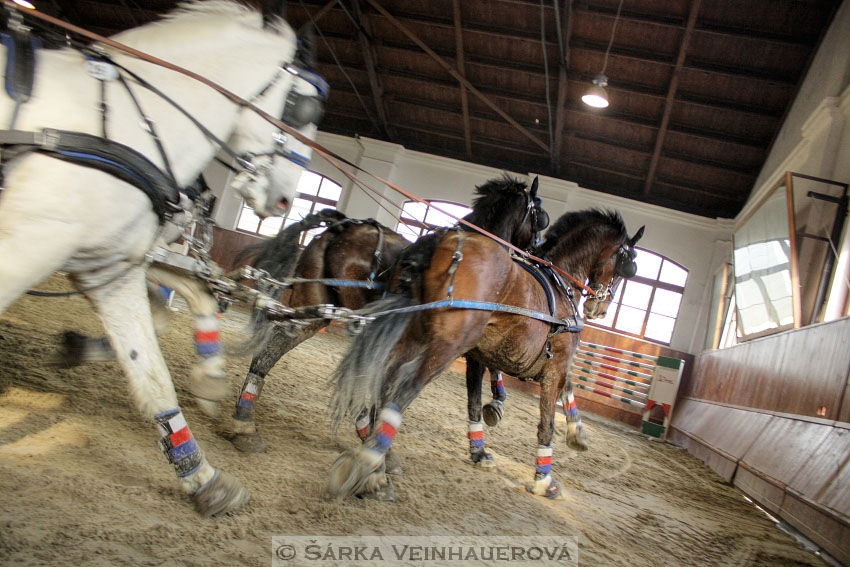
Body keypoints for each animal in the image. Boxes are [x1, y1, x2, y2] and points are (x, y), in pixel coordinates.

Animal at [0, 0, 324, 516]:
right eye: (302, 107)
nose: (282, 200)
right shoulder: (33, 243)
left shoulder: (110, 264)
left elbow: (153, 367)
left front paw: (207, 474)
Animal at [229, 174, 548, 462]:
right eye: (540, 217)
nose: (536, 251)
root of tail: (340, 227)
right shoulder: (461, 340)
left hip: (314, 309)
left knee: (272, 349)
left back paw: (245, 420)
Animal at [326, 210, 644, 502]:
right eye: (627, 263)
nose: (600, 307)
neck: (559, 284)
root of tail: (442, 240)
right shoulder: (555, 364)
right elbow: (547, 422)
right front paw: (544, 479)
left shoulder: (485, 357)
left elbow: (480, 402)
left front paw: (576, 434)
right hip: (447, 344)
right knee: (404, 386)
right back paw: (369, 464)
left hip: (411, 334)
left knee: (385, 380)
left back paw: (379, 457)